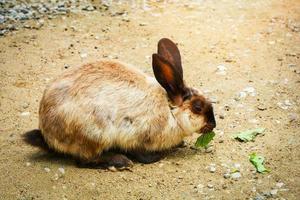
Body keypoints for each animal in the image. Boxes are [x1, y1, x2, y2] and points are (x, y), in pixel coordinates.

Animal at [27, 38, 216, 169]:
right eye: (197, 107)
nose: (213, 124)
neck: (170, 111)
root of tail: (47, 133)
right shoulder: (137, 135)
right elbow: (143, 155)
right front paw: (160, 155)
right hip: (95, 135)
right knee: (84, 160)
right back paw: (120, 162)